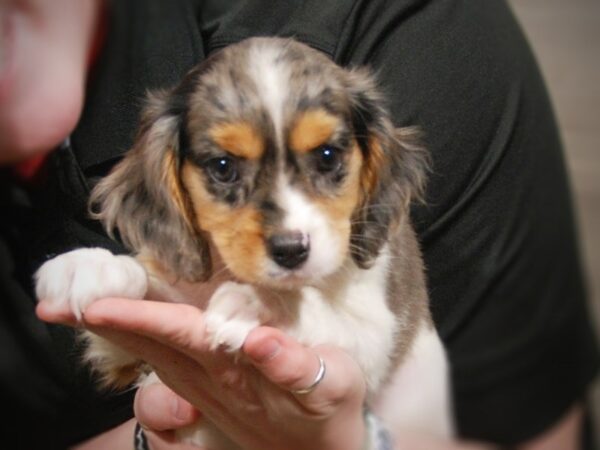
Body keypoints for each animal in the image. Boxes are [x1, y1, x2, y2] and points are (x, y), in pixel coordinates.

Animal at [35, 37, 452, 444]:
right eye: (223, 167)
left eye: (327, 156)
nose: (291, 251)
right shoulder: (124, 352)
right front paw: (92, 266)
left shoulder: (375, 336)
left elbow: (319, 312)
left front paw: (260, 304)